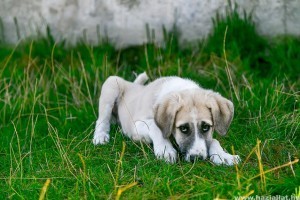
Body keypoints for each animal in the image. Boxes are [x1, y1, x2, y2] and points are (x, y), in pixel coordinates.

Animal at [92, 72, 240, 165]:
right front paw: (165, 150)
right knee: (102, 120)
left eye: (205, 127)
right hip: (112, 83)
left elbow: (214, 140)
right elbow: (155, 127)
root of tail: (132, 85)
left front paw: (224, 156)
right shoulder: (136, 125)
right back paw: (100, 136)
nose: (197, 158)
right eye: (183, 128)